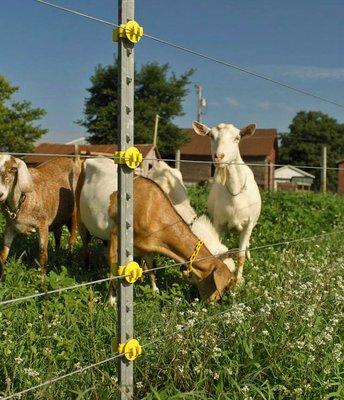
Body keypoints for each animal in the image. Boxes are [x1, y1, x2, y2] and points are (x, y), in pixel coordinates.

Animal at [194, 120, 260, 282]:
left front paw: (239, 280)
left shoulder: (248, 224)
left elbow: (241, 255)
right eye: (211, 136)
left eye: (237, 138)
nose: (219, 156)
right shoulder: (218, 223)